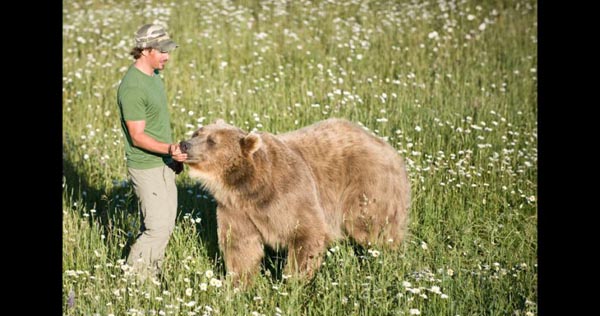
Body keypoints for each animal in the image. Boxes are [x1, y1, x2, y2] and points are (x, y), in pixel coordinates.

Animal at [180, 117, 410, 286]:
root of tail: (389, 148)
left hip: (366, 185)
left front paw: (292, 283)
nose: (184, 144)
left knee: (372, 226)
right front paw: (238, 285)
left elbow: (305, 233)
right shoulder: (235, 210)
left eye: (212, 141)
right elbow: (240, 246)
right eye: (197, 133)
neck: (248, 187)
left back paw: (389, 256)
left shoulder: (289, 193)